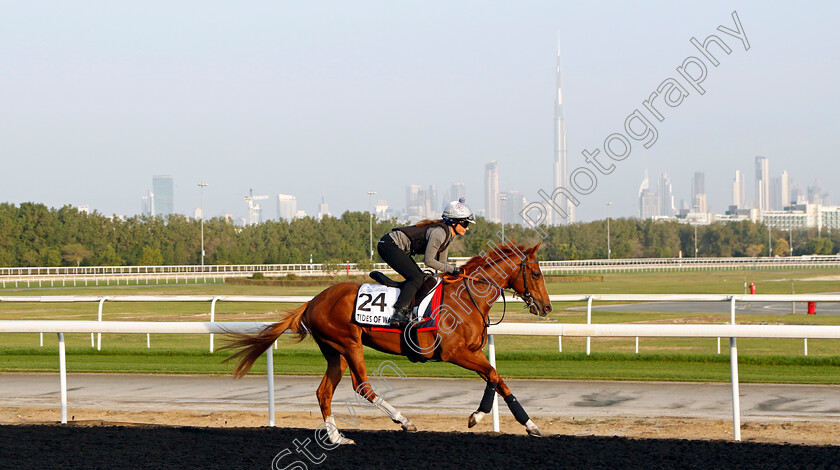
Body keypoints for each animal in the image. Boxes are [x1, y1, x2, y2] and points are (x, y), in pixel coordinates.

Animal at [223, 242, 552, 444]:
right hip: (350, 344)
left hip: (335, 352)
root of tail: (313, 301)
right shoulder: (454, 352)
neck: (468, 298)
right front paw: (484, 416)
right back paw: (403, 420)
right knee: (363, 387)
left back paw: (337, 437)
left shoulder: (473, 351)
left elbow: (497, 379)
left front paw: (522, 423)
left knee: (323, 392)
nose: (546, 307)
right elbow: (495, 375)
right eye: (536, 273)